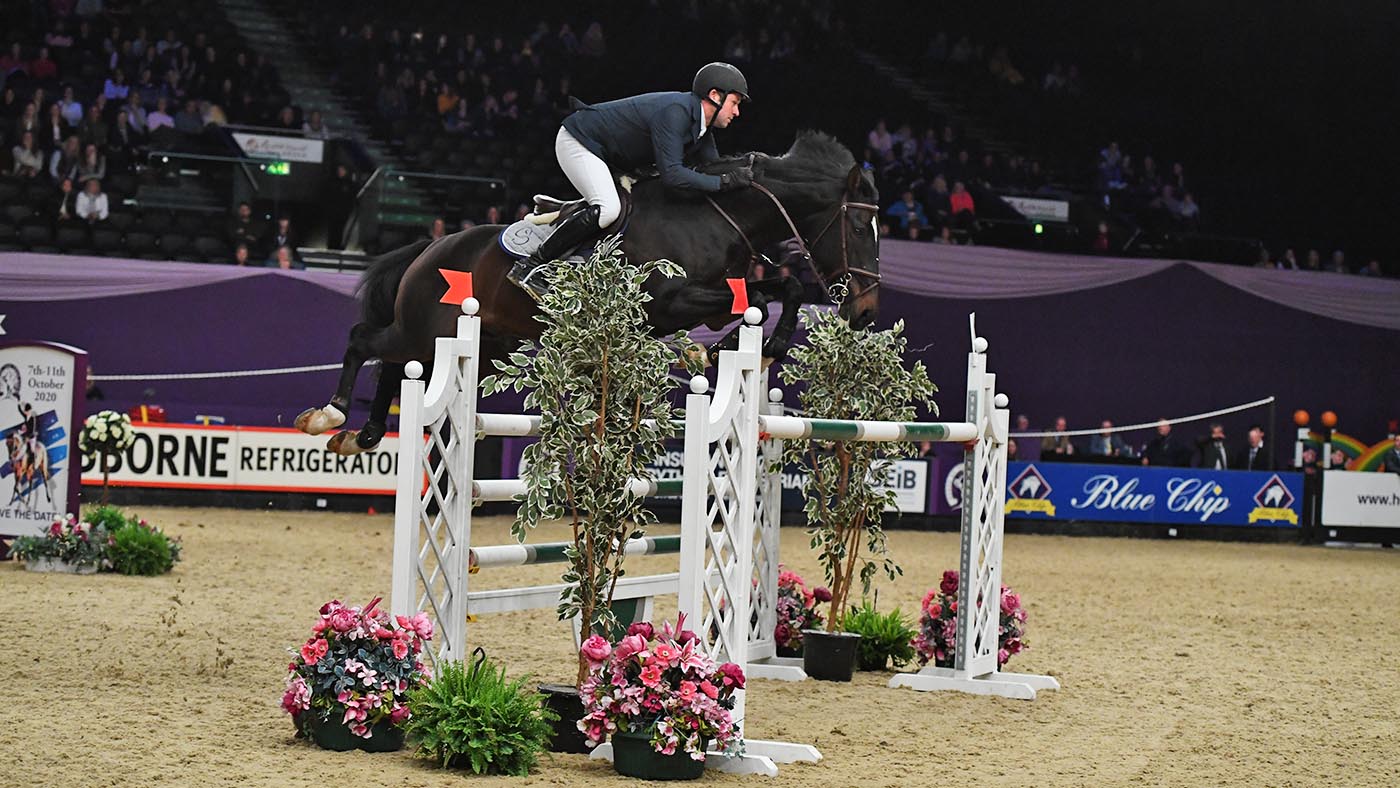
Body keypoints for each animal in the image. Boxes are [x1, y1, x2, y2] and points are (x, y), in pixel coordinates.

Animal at [298, 131, 873, 453]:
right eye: (860, 227)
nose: (866, 312)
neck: (712, 213)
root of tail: (429, 248)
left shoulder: (719, 291)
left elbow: (781, 287)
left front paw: (748, 347)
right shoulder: (671, 303)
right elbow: (756, 301)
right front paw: (730, 348)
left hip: (478, 347)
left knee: (398, 367)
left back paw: (364, 433)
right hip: (426, 327)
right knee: (365, 341)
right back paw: (331, 415)